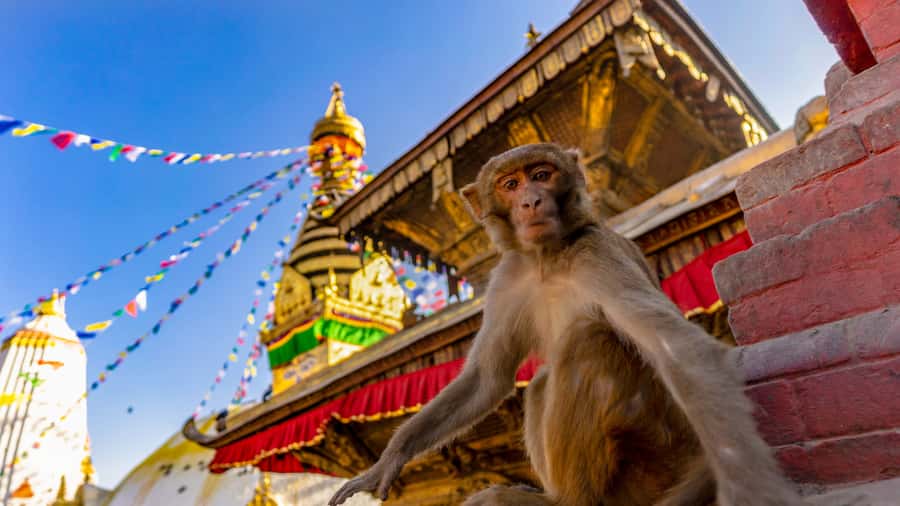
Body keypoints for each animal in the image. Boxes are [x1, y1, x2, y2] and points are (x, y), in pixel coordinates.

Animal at [329, 143, 804, 506]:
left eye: (542, 174)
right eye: (510, 184)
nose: (530, 201)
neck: (549, 258)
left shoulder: (598, 255)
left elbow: (675, 349)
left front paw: (749, 486)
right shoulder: (509, 277)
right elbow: (487, 377)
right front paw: (387, 461)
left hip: (655, 457)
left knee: (588, 341)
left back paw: (567, 501)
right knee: (541, 381)